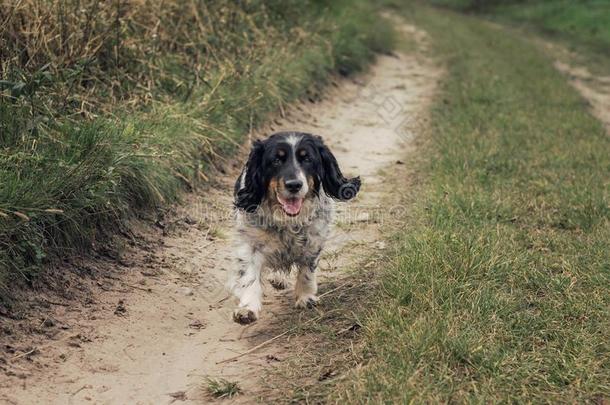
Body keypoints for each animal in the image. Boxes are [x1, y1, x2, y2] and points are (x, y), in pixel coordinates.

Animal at [229, 131, 360, 324]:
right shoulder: (250, 242)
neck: (286, 219)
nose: (294, 184)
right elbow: (249, 276)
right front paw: (247, 309)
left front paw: (306, 297)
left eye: (307, 159)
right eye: (276, 160)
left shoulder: (314, 239)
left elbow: (307, 269)